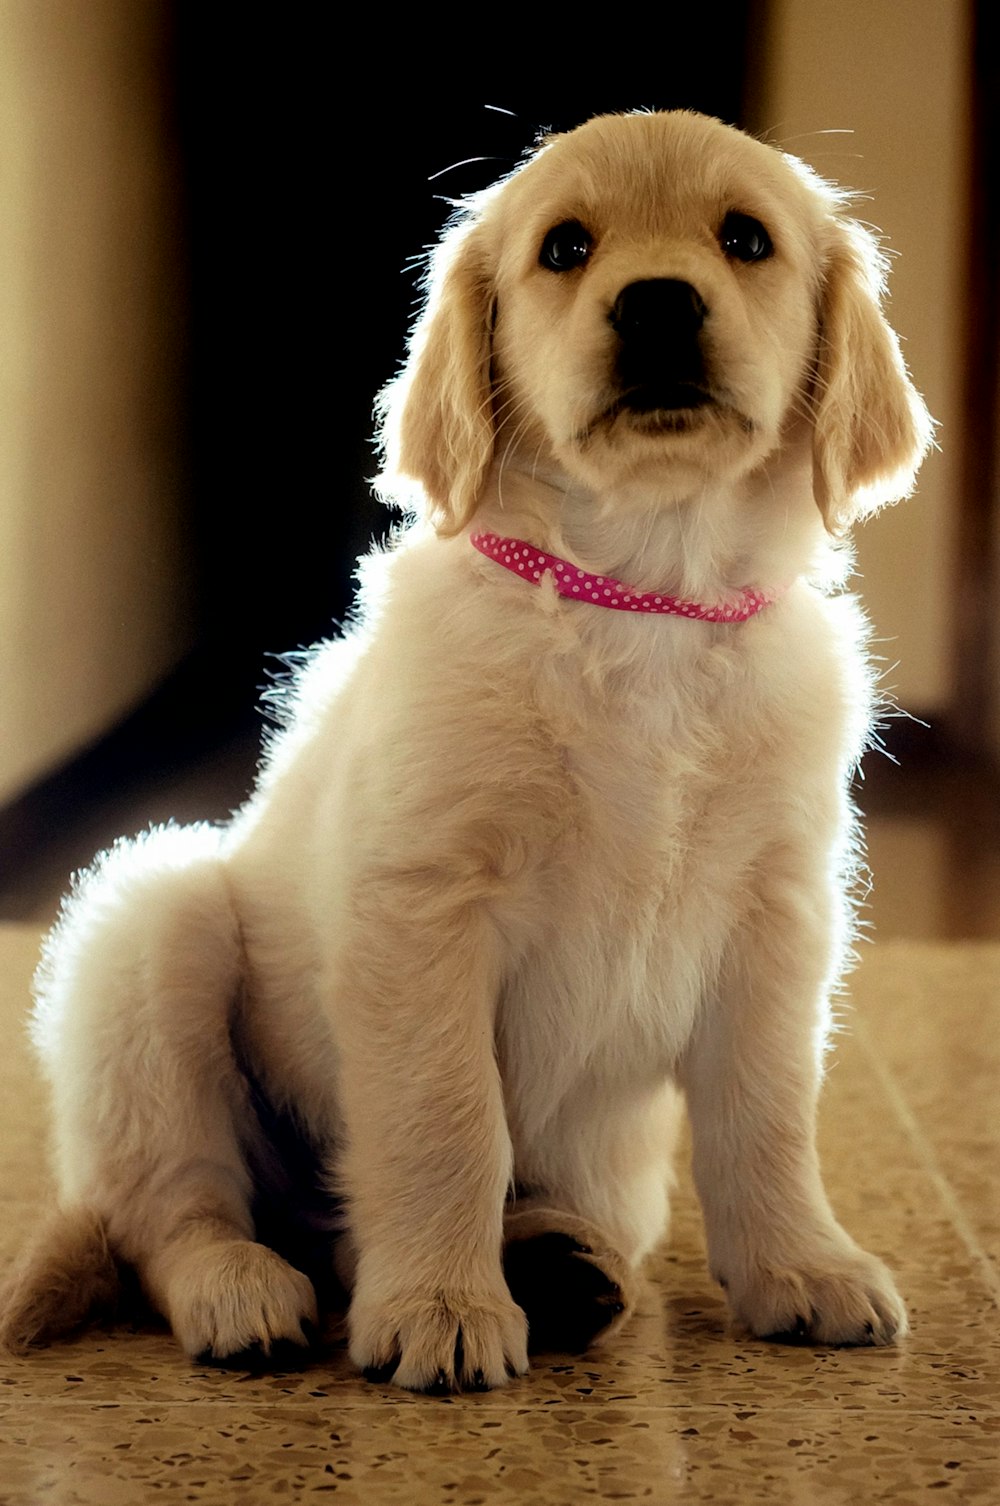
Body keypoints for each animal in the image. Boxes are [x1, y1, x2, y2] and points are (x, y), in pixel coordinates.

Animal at [3, 111, 933, 1391]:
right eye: (565, 247)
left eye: (745, 239)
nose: (656, 303)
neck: (638, 599)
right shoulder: (424, 906)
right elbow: (445, 1119)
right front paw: (440, 1305)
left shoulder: (777, 916)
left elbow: (767, 1114)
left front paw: (800, 1266)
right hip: (152, 925)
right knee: (173, 1210)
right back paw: (245, 1289)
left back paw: (559, 1265)